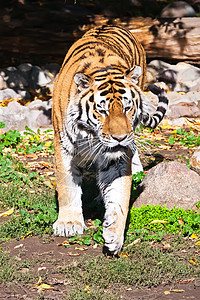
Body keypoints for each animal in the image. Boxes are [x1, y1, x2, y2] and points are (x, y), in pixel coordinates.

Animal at [52, 24, 168, 254]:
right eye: (102, 110)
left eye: (127, 108)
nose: (120, 137)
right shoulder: (63, 148)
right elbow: (67, 185)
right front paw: (69, 223)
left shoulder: (117, 157)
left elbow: (119, 194)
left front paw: (114, 234)